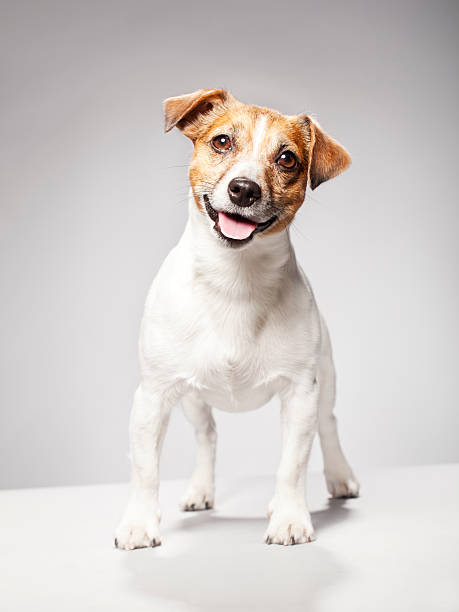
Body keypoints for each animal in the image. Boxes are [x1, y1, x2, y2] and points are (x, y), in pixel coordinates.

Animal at [114, 89, 360, 548]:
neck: (233, 281)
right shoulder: (153, 395)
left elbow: (292, 465)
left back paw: (338, 478)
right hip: (192, 399)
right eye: (222, 141)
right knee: (207, 435)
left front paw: (289, 518)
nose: (244, 188)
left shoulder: (300, 394)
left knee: (328, 426)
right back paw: (200, 489)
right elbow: (145, 468)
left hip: (324, 383)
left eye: (288, 159)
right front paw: (138, 522)